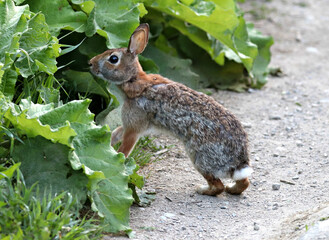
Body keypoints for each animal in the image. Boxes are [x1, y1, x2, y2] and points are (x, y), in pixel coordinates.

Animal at [88, 23, 252, 195]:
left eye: (113, 59)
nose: (90, 63)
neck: (133, 80)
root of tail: (240, 159)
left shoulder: (134, 127)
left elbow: (125, 148)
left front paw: (118, 161)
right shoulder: (130, 124)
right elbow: (116, 132)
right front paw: (108, 143)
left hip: (199, 157)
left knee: (218, 185)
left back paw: (202, 190)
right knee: (243, 182)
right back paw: (232, 189)